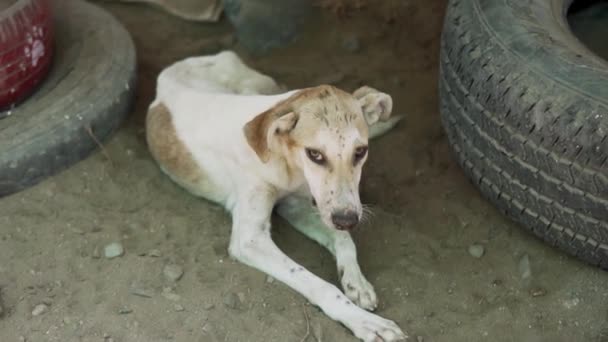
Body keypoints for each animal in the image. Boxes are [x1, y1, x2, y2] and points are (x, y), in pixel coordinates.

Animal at [145, 50, 406, 342]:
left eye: (360, 152)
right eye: (315, 154)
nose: (348, 219)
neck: (286, 163)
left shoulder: (297, 205)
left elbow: (344, 240)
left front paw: (356, 281)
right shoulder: (250, 239)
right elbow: (318, 283)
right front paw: (365, 322)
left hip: (258, 84)